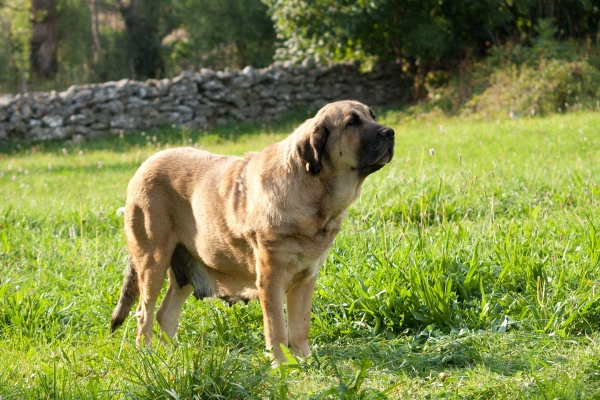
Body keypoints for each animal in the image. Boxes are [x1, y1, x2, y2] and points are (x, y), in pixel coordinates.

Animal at [110, 100, 396, 362]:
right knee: (144, 313)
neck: (313, 191)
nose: (390, 132)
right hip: (153, 262)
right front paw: (282, 364)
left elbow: (300, 327)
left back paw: (172, 356)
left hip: (186, 268)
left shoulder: (306, 278)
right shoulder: (271, 279)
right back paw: (146, 355)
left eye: (372, 116)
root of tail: (142, 167)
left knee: (165, 314)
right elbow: (277, 327)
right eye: (352, 122)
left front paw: (303, 360)